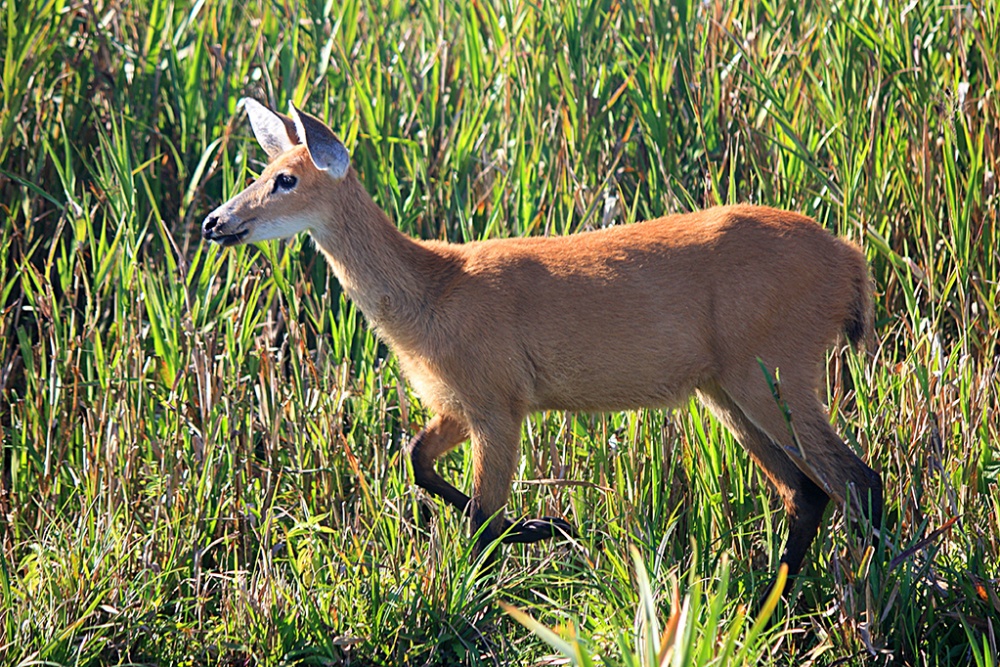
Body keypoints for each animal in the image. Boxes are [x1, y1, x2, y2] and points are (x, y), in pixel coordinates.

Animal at [201, 98, 884, 588]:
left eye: (286, 180)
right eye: (260, 172)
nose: (214, 222)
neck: (434, 297)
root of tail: (853, 264)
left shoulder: (500, 401)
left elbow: (479, 522)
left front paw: (491, 577)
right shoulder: (462, 403)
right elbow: (415, 459)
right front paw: (545, 526)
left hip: (776, 368)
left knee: (857, 480)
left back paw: (875, 592)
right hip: (728, 390)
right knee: (807, 492)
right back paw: (773, 603)